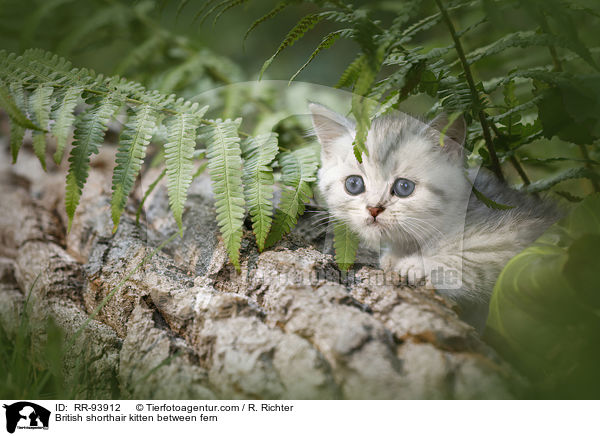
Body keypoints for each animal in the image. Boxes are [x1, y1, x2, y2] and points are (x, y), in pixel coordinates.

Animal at [312, 103, 560, 330]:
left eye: (404, 187)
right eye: (354, 184)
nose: (374, 209)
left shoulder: (521, 228)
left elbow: (476, 255)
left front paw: (417, 264)